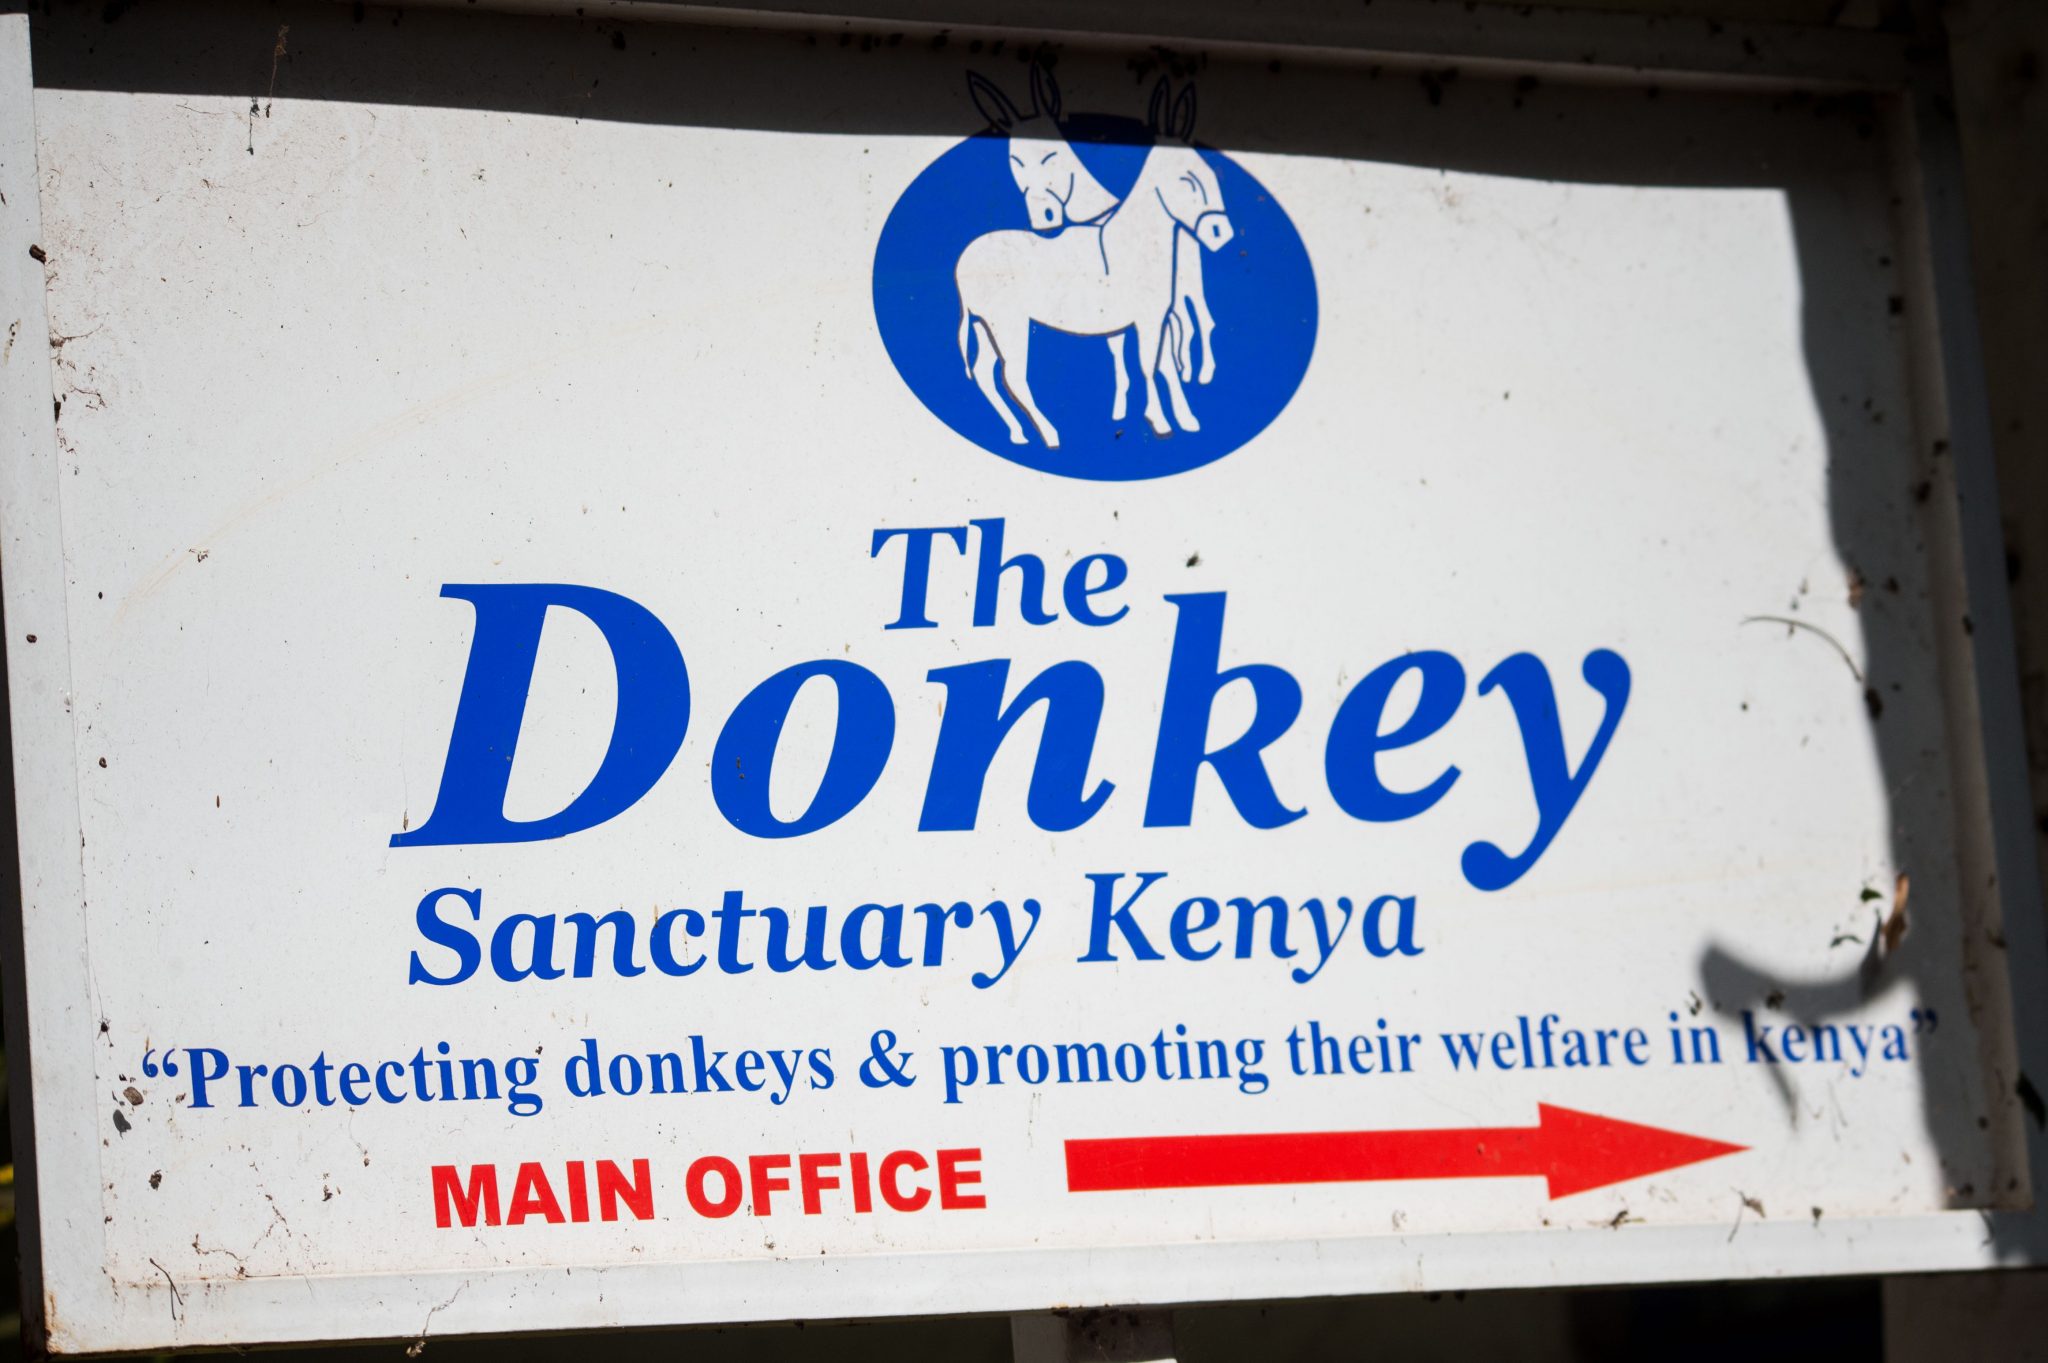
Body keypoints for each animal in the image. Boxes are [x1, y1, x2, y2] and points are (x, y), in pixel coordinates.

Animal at [956, 84, 1234, 448]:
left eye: (1210, 174)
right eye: (1186, 179)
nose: (1220, 233)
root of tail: (963, 261)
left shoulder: (1156, 317)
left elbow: (1164, 365)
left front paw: (1185, 419)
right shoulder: (1147, 319)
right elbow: (1149, 365)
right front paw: (1160, 421)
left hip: (986, 326)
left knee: (986, 374)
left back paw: (1019, 433)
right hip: (1008, 324)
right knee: (1012, 375)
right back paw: (1050, 434)